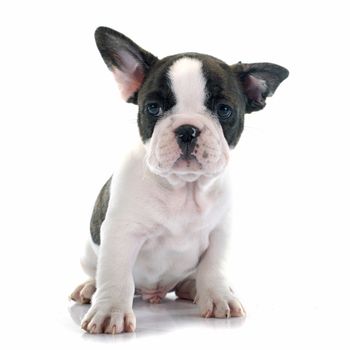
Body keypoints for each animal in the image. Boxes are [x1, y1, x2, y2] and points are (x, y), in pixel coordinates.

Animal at [69, 26, 288, 334]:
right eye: (153, 108)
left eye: (224, 110)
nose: (187, 129)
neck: (184, 188)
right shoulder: (121, 232)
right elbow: (116, 273)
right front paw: (110, 311)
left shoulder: (220, 233)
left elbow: (214, 267)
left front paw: (218, 296)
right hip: (89, 252)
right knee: (98, 272)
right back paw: (90, 288)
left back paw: (192, 287)